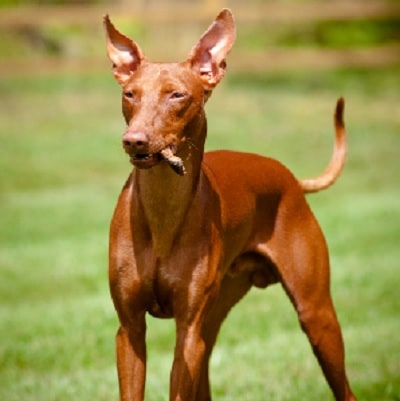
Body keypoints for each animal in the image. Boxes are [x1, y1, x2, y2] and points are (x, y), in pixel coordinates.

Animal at [103, 7, 356, 398]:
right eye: (130, 94)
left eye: (177, 95)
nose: (134, 140)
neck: (163, 213)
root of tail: (289, 176)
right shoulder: (129, 329)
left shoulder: (188, 330)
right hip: (214, 319)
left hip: (316, 315)